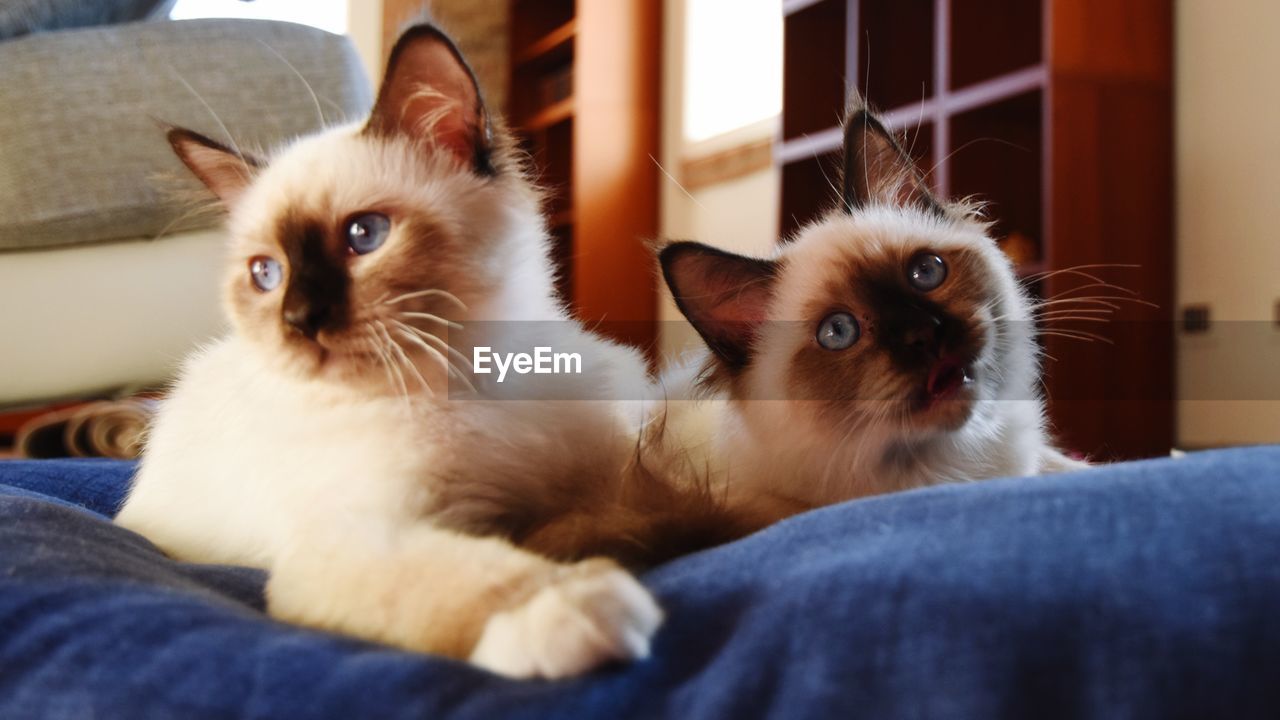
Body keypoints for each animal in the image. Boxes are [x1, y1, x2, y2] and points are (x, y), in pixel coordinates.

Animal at [115, 26, 665, 676]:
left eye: (365, 236)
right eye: (267, 274)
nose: (299, 320)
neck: (474, 377)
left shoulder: (621, 471)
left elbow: (620, 508)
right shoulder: (353, 538)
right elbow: (467, 576)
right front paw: (563, 607)